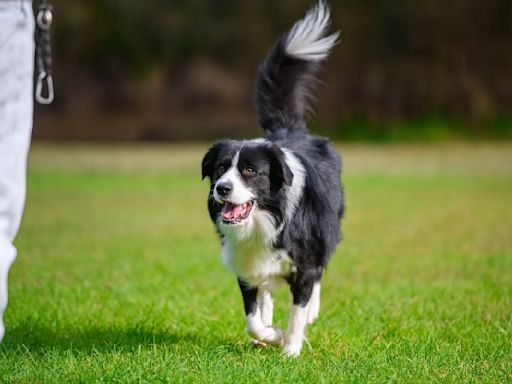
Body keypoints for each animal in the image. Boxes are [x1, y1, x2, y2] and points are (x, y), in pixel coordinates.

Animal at [201, 2, 344, 356]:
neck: (266, 218)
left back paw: (311, 312)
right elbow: (252, 317)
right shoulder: (244, 263)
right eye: (220, 168)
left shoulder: (304, 263)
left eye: (250, 171)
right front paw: (270, 334)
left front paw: (290, 349)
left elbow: (299, 308)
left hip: (329, 229)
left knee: (319, 274)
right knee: (265, 291)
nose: (222, 189)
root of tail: (288, 131)